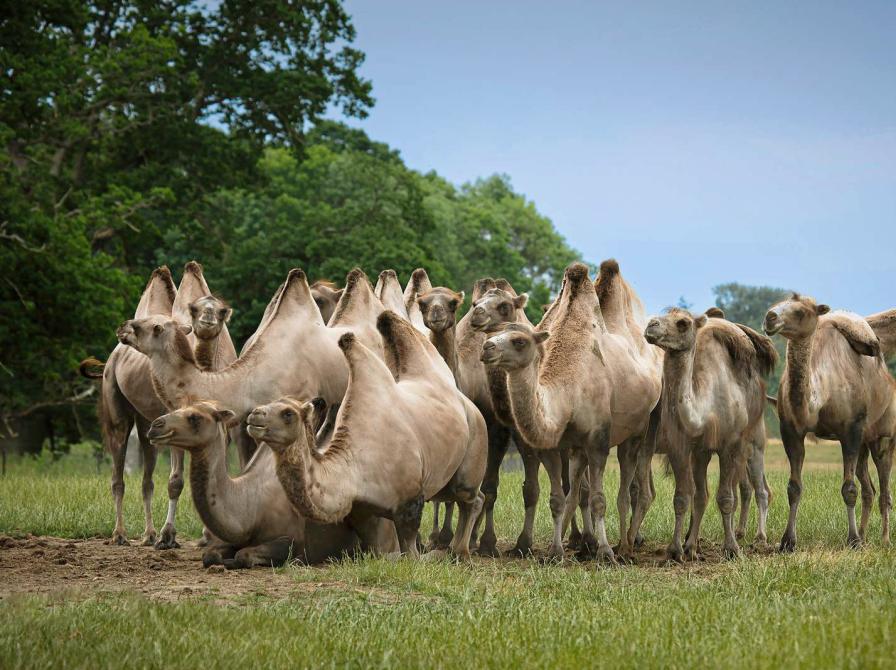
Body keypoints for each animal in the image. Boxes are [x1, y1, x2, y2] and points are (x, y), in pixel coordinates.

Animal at [147, 402, 396, 568]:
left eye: (194, 417)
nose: (154, 426)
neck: (250, 505)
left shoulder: (290, 539)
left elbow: (244, 556)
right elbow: (209, 555)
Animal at [256, 312, 486, 560]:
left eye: (287, 414)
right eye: (271, 403)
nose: (254, 415)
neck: (356, 465)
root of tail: (465, 401)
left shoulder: (410, 501)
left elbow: (410, 552)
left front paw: (422, 558)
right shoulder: (362, 512)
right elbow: (376, 549)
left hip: (475, 440)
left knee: (470, 498)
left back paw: (460, 552)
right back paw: (455, 551)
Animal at [480, 262, 660, 560]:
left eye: (519, 341)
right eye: (495, 335)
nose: (487, 347)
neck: (567, 388)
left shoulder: (598, 440)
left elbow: (599, 499)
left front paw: (605, 552)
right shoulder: (552, 446)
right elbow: (556, 499)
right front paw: (555, 552)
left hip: (638, 429)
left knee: (626, 490)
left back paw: (624, 546)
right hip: (577, 447)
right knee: (575, 489)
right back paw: (581, 541)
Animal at [644, 310, 776, 560]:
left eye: (683, 323)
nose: (651, 325)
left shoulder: (729, 446)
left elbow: (725, 498)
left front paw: (731, 548)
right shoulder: (685, 448)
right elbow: (685, 497)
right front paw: (678, 549)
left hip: (755, 440)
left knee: (758, 489)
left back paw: (760, 539)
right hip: (704, 454)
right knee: (708, 495)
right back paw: (696, 543)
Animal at [764, 296, 896, 552]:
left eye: (801, 311)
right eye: (774, 304)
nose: (770, 317)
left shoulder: (851, 429)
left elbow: (849, 489)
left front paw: (852, 540)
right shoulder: (790, 430)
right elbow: (793, 487)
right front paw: (788, 541)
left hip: (883, 435)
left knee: (884, 488)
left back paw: (884, 540)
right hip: (865, 442)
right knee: (869, 489)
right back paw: (865, 535)